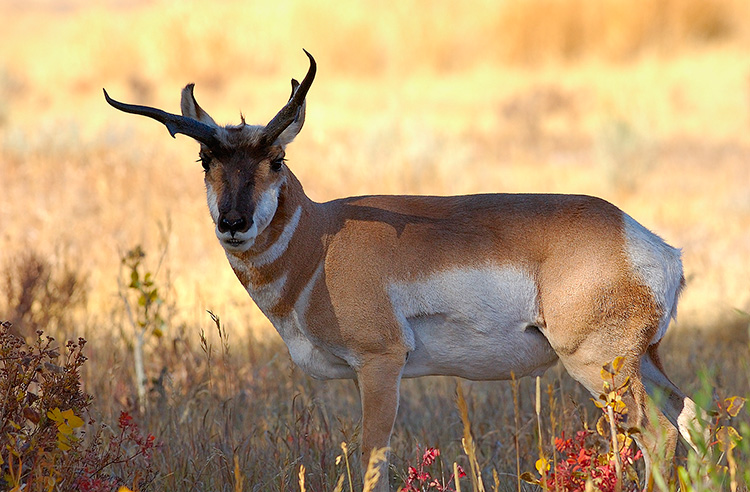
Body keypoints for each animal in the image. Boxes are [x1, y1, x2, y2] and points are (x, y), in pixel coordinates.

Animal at [104, 50, 704, 488]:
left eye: (277, 159)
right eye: (206, 159)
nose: (234, 222)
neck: (320, 242)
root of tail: (648, 242)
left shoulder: (380, 365)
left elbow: (373, 462)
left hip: (598, 365)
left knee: (659, 435)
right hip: (643, 361)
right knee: (689, 416)